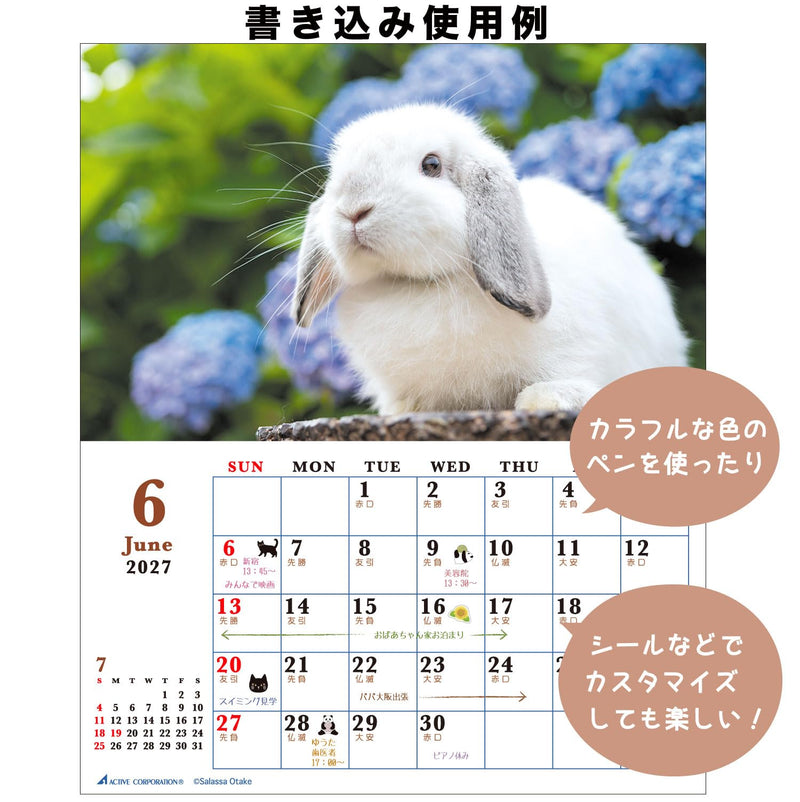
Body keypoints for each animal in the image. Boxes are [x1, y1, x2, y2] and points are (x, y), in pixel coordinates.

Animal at [291, 103, 689, 414]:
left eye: (431, 165)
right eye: (335, 173)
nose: (353, 211)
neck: (423, 285)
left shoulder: (577, 350)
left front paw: (543, 399)